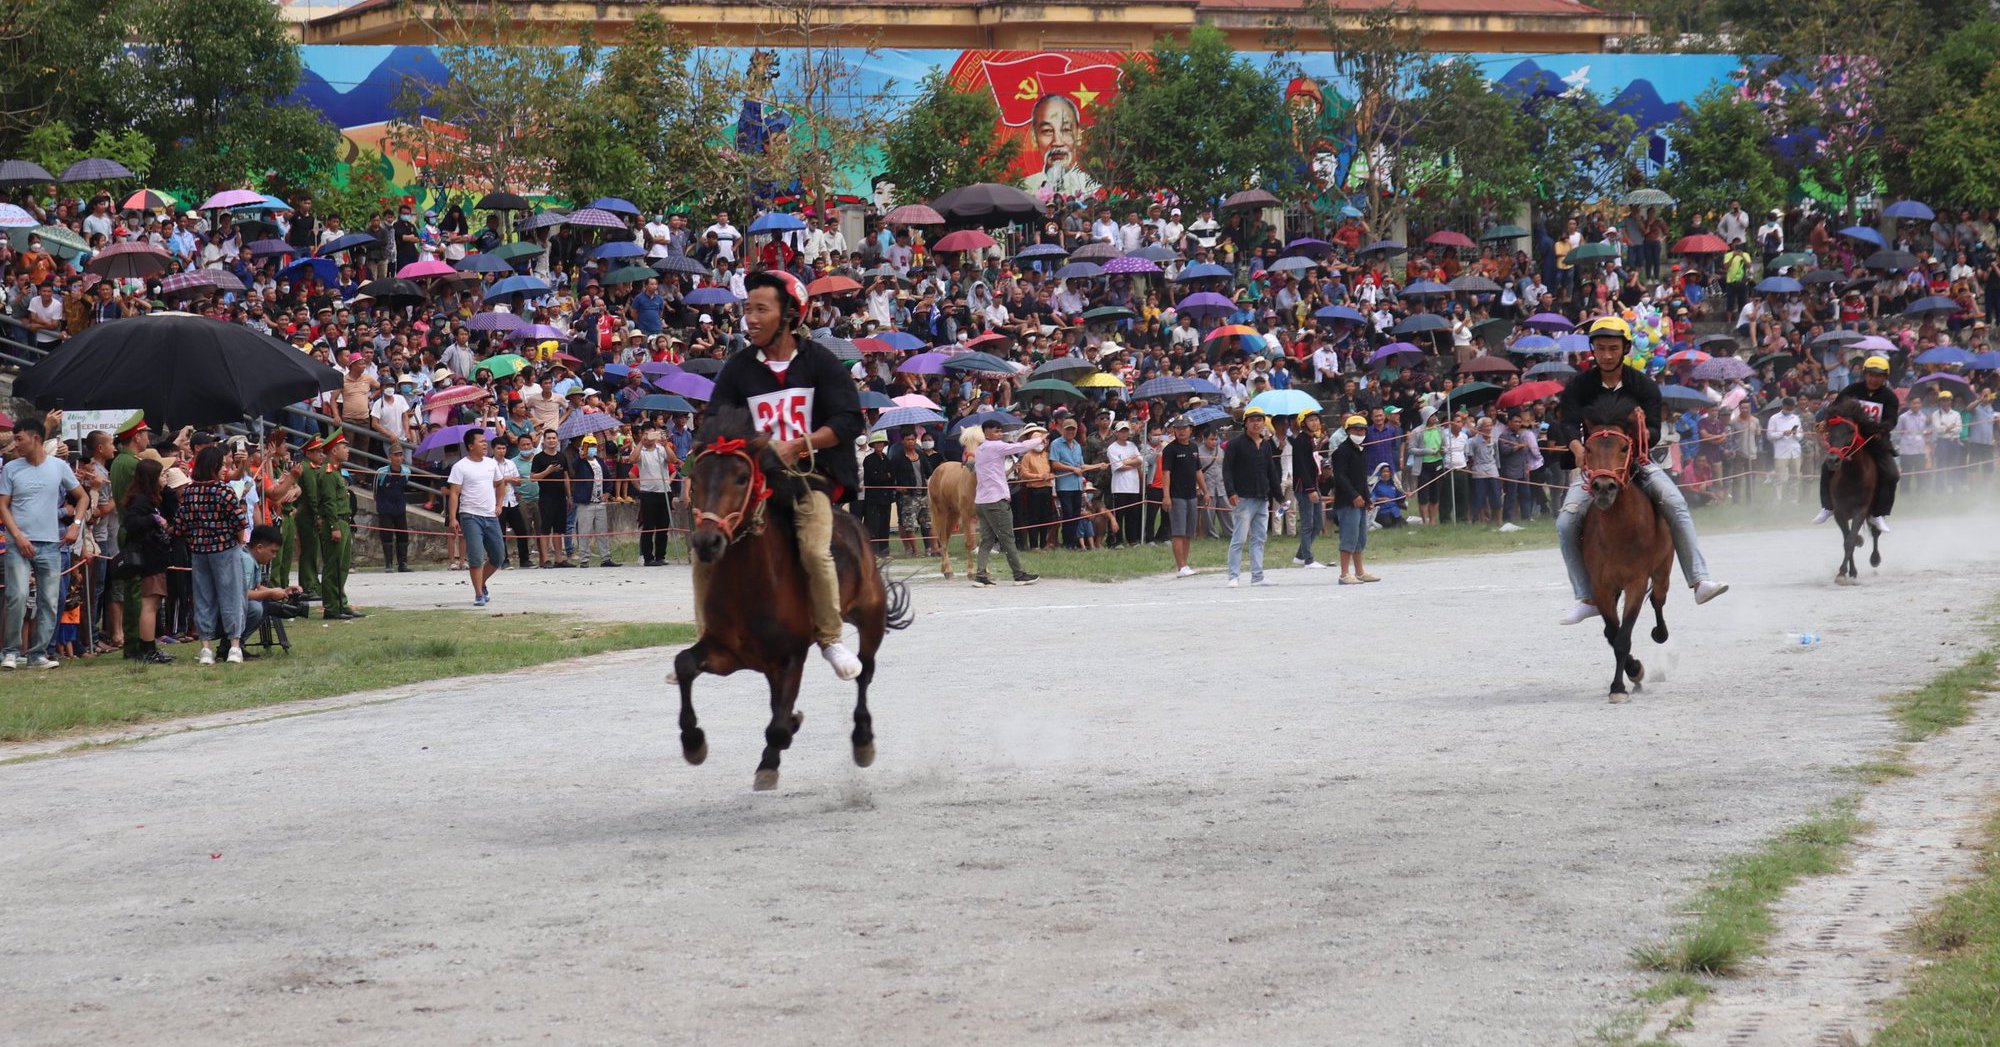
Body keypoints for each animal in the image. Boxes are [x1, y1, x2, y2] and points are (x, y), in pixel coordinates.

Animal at [680, 405, 916, 791]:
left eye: (742, 478)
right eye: (696, 480)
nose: (707, 542)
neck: (750, 586)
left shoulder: (792, 655)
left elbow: (777, 728)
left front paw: (771, 757)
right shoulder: (727, 653)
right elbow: (684, 665)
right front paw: (693, 743)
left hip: (870, 615)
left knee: (864, 671)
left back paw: (862, 739)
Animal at [924, 427, 980, 579]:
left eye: (981, 443)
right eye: (964, 445)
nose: (972, 464)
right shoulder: (966, 516)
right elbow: (969, 542)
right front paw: (971, 571)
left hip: (953, 514)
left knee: (946, 538)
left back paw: (944, 567)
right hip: (941, 512)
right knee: (942, 538)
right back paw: (948, 570)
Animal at [1576, 409, 1672, 703]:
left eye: (1623, 447)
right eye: (1588, 448)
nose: (1603, 487)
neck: (1618, 531)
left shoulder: (1636, 582)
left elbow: (1623, 637)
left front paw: (1619, 687)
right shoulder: (1601, 586)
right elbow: (1612, 632)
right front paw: (1632, 670)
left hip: (1663, 568)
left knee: (1658, 600)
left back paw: (1660, 632)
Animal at [1824, 399, 1880, 583]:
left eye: (1850, 431)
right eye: (1830, 430)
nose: (1833, 460)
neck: (1852, 477)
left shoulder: (1860, 510)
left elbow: (1850, 540)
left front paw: (1842, 572)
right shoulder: (1839, 512)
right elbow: (1847, 539)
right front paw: (1848, 572)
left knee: (1875, 532)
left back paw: (1875, 558)